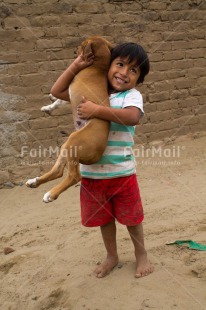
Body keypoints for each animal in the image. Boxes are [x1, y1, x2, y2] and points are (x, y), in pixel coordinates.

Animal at [26, 36, 112, 202]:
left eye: (82, 44)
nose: (74, 51)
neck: (98, 67)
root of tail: (98, 153)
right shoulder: (70, 95)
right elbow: (59, 100)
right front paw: (48, 106)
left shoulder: (73, 91)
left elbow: (60, 100)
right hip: (66, 147)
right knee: (58, 171)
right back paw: (35, 182)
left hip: (73, 142)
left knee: (74, 176)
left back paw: (50, 194)